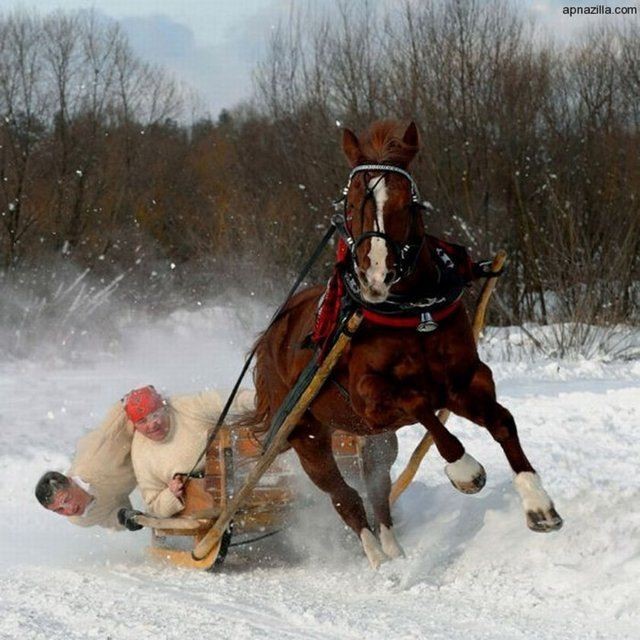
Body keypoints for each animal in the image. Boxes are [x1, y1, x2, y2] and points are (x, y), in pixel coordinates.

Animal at [248, 121, 564, 568]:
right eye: (351, 203)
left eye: (408, 203)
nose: (376, 276)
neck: (413, 314)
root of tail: (271, 335)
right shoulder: (370, 398)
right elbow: (420, 405)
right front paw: (465, 471)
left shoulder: (465, 381)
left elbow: (503, 422)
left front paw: (539, 505)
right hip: (306, 435)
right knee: (345, 499)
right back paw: (378, 561)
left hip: (373, 439)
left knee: (377, 491)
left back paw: (394, 551)